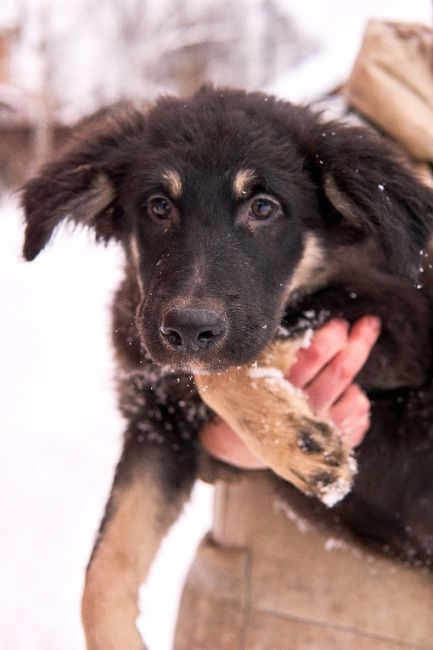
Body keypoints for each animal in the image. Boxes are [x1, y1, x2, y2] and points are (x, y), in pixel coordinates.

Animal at [22, 87, 432, 648]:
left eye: (263, 207)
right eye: (159, 206)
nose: (188, 329)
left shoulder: (398, 313)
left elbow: (222, 369)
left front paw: (301, 445)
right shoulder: (159, 428)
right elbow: (103, 570)